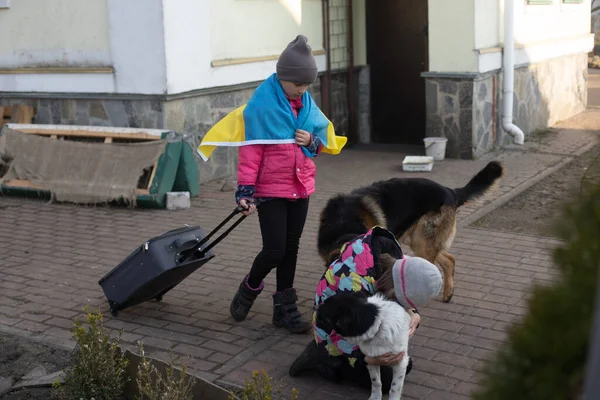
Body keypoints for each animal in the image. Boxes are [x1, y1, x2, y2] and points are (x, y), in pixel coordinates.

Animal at [316, 161, 504, 302]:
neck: (343, 225)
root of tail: (450, 191)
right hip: (418, 240)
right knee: (449, 259)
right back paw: (448, 294)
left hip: (421, 241)